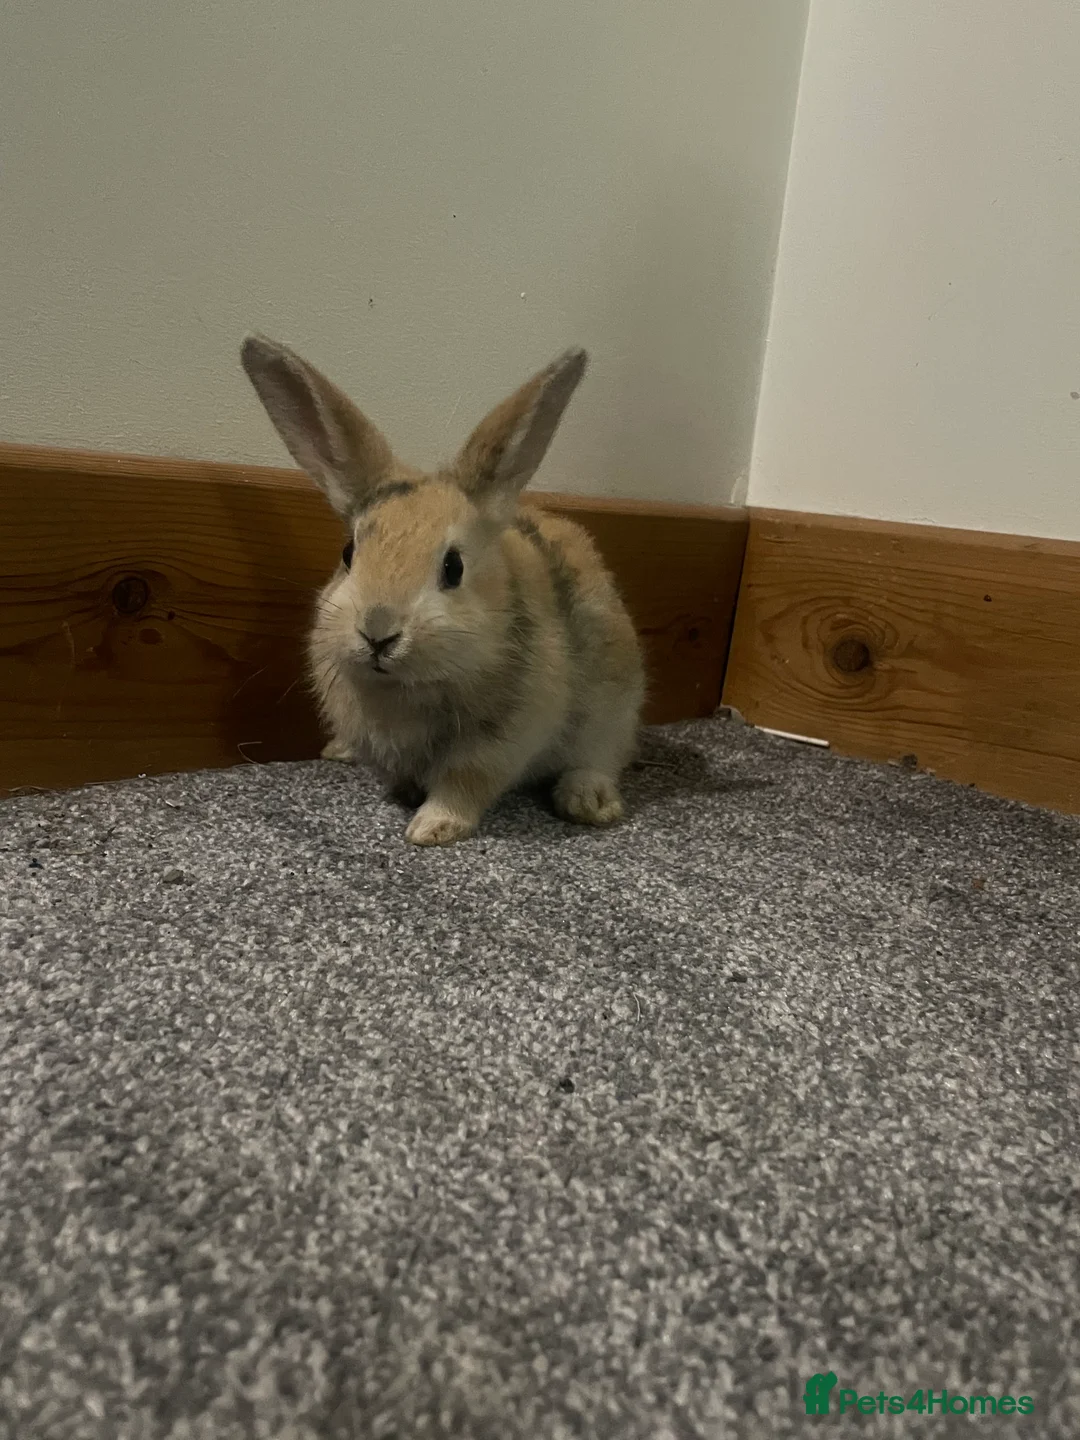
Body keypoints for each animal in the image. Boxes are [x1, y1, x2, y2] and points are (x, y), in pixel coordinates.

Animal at [240, 334, 645, 846]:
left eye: (454, 567)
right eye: (349, 553)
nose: (378, 634)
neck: (406, 689)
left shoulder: (499, 742)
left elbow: (463, 783)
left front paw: (431, 828)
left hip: (614, 704)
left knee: (601, 755)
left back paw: (588, 802)